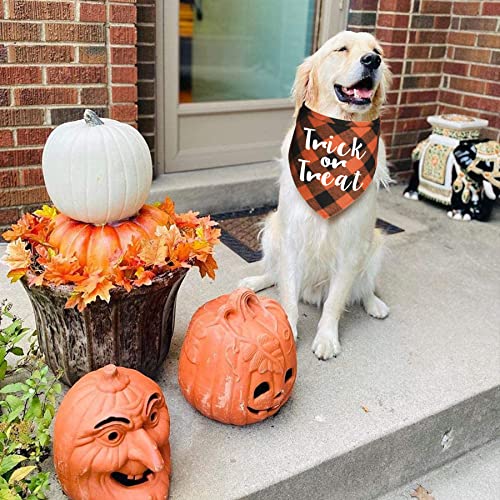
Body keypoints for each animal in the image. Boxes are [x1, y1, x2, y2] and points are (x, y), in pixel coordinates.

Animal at [240, 31, 392, 360]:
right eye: (341, 49)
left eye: (377, 50)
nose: (372, 61)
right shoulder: (292, 234)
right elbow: (287, 290)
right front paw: (288, 327)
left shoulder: (352, 247)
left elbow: (335, 301)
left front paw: (326, 338)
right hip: (272, 229)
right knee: (275, 273)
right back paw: (254, 281)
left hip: (376, 244)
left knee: (364, 287)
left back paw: (374, 303)